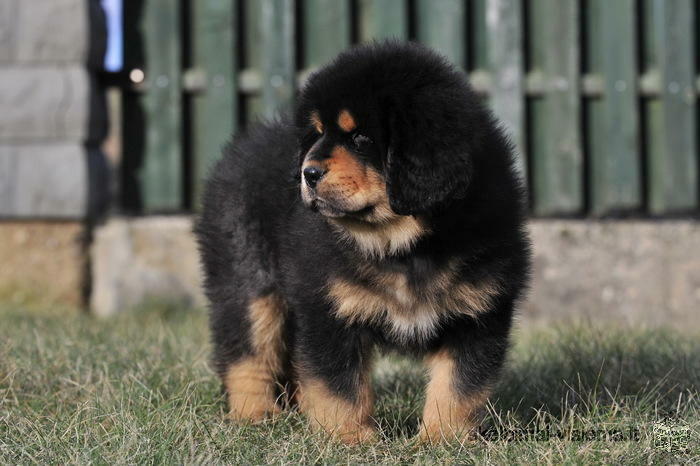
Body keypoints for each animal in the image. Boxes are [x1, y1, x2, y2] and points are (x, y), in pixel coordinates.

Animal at [197, 41, 532, 444]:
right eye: (317, 134)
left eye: (359, 137)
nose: (308, 173)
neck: (402, 245)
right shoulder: (327, 308)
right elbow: (340, 384)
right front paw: (350, 439)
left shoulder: (478, 313)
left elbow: (458, 386)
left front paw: (442, 441)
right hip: (247, 278)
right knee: (248, 348)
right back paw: (255, 414)